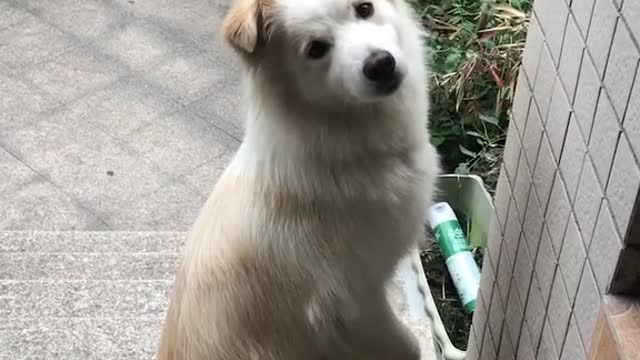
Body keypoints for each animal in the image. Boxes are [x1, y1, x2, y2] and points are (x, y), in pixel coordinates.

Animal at [158, 0, 440, 358]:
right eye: (316, 49)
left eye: (364, 8)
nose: (380, 64)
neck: (339, 155)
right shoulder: (354, 300)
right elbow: (405, 344)